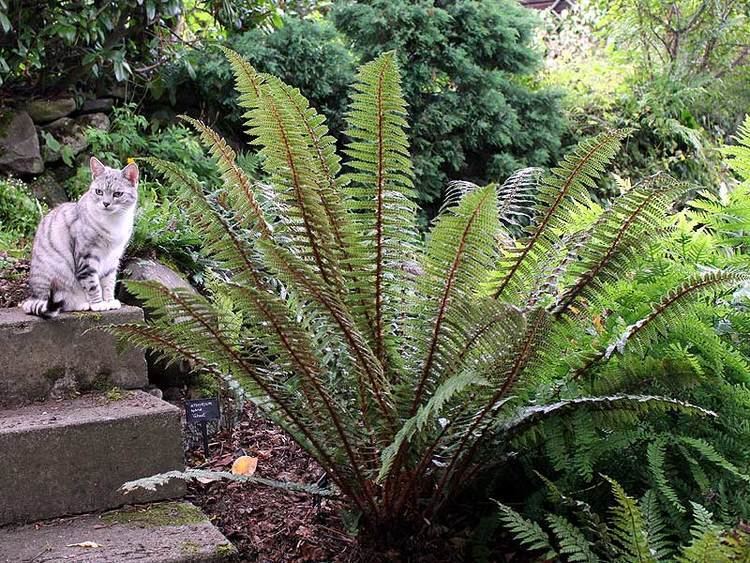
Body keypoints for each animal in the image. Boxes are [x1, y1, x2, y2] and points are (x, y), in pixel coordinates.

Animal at [21, 158, 140, 318]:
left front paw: (109, 301)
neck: (113, 222)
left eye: (118, 194)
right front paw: (98, 304)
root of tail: (33, 298)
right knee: (61, 304)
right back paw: (82, 304)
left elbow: (109, 282)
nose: (106, 203)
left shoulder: (113, 257)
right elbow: (93, 284)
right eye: (99, 192)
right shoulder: (86, 257)